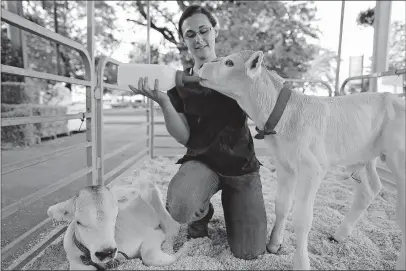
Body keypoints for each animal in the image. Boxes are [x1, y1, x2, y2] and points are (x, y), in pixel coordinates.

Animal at [47, 180, 179, 270]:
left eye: (115, 216)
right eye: (78, 222)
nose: (106, 252)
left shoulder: (152, 233)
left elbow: (149, 255)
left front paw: (172, 258)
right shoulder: (74, 258)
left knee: (173, 226)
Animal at [198, 50, 404, 270]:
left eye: (229, 62)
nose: (200, 65)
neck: (285, 117)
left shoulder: (312, 168)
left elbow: (302, 218)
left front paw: (301, 262)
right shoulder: (284, 164)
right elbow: (282, 205)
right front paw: (273, 244)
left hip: (397, 157)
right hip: (363, 156)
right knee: (370, 188)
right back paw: (339, 235)